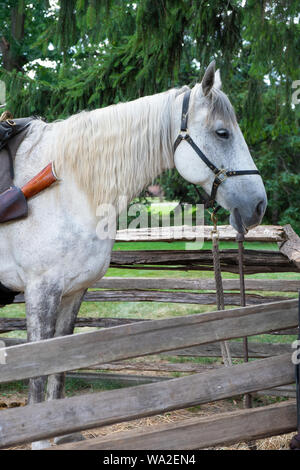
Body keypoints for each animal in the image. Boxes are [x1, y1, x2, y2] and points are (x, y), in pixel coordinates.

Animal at [0, 62, 268, 448]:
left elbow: (58, 372)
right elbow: (38, 375)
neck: (70, 186)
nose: (258, 206)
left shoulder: (72, 294)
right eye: (222, 133)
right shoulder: (41, 292)